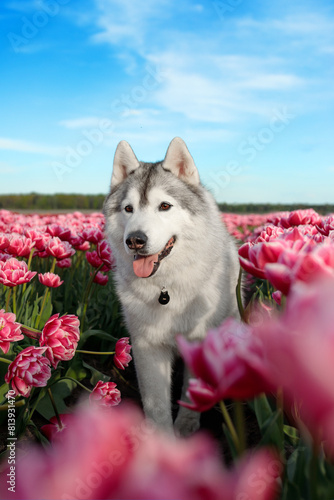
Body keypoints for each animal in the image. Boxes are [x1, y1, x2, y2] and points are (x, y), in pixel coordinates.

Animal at [103, 139, 239, 436]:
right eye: (128, 209)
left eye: (164, 206)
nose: (135, 240)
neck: (165, 288)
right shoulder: (147, 346)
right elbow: (155, 405)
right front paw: (162, 441)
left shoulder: (200, 341)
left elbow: (192, 391)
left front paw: (186, 426)